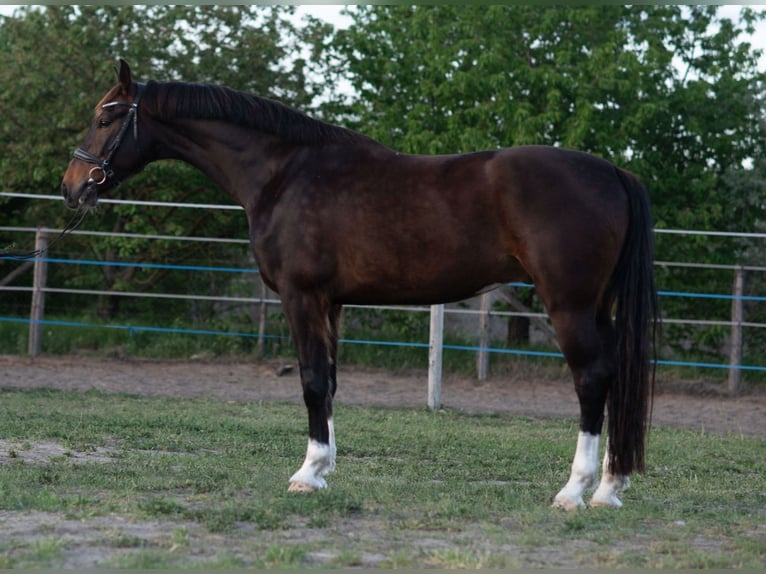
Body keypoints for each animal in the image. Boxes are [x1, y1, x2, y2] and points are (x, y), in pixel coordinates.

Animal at [61, 60, 659, 510]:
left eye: (105, 117)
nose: (72, 187)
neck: (284, 173)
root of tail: (613, 172)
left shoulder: (301, 297)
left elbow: (310, 381)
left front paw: (306, 475)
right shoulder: (333, 303)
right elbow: (328, 382)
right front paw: (323, 469)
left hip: (569, 305)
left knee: (592, 380)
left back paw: (575, 491)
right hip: (596, 306)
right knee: (614, 379)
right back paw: (610, 487)